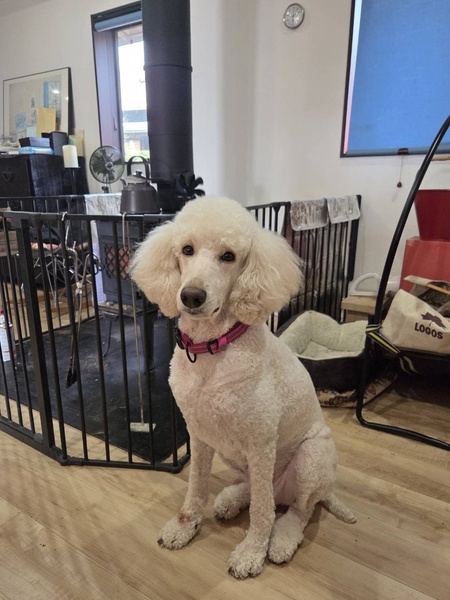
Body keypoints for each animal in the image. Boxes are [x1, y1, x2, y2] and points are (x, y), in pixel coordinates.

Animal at [131, 196, 356, 579]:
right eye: (186, 250)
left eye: (229, 256)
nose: (191, 295)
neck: (212, 348)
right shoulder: (199, 434)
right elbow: (195, 488)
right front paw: (184, 527)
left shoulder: (261, 442)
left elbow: (262, 513)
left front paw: (252, 552)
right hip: (236, 457)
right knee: (260, 491)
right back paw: (231, 499)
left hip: (311, 460)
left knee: (296, 509)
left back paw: (280, 541)